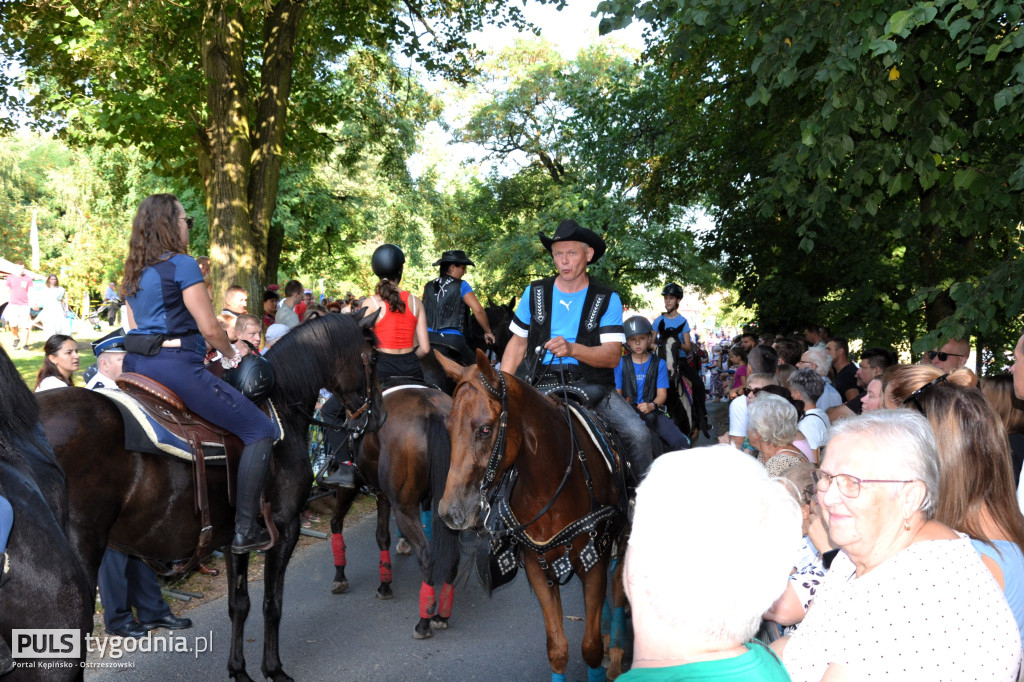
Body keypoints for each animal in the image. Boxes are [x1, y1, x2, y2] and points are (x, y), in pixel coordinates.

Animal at [37, 311, 385, 679]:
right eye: (375, 357)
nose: (379, 415)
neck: (281, 408)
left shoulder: (232, 538)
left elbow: (239, 604)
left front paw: (239, 669)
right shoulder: (284, 527)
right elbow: (272, 603)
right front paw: (273, 668)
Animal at [327, 387, 460, 638]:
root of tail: (432, 410)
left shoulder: (353, 488)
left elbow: (337, 523)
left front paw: (340, 576)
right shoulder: (382, 496)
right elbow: (382, 537)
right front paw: (385, 583)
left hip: (404, 509)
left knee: (426, 554)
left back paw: (424, 620)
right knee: (452, 553)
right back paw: (442, 614)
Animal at [436, 350, 626, 679]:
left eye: (485, 428)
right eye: (448, 425)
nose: (451, 512)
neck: (551, 483)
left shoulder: (594, 561)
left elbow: (589, 647)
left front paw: (604, 653)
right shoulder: (539, 567)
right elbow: (558, 649)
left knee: (619, 584)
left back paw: (615, 650)